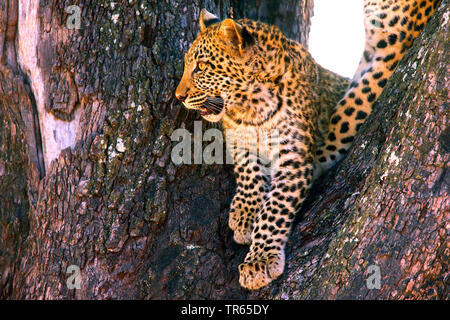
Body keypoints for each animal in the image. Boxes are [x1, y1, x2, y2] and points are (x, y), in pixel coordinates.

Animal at [175, 0, 440, 290]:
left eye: (201, 67)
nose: (178, 96)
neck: (249, 106)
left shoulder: (391, 50)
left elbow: (275, 209)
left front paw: (260, 261)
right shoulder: (239, 140)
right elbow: (248, 172)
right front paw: (245, 216)